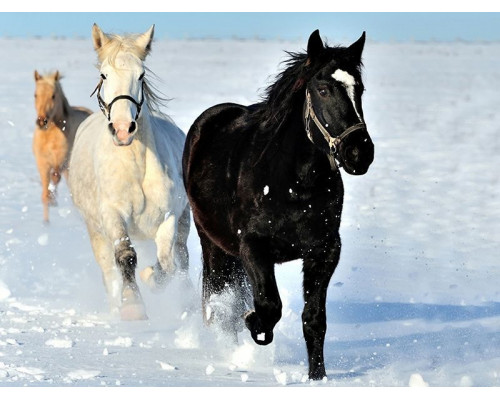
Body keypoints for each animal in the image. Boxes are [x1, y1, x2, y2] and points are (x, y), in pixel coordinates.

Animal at [32, 70, 91, 223]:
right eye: (35, 95)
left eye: (53, 95)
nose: (42, 121)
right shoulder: (42, 163)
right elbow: (44, 190)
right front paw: (46, 223)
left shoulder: (62, 160)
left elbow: (55, 177)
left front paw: (52, 199)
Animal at [71, 23, 192, 320]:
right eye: (103, 74)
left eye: (141, 75)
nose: (123, 129)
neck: (136, 167)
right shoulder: (112, 215)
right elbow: (126, 255)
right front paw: (132, 305)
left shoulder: (169, 217)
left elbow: (167, 262)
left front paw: (151, 278)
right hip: (95, 230)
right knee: (108, 268)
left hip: (185, 221)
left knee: (182, 258)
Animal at [182, 29, 374, 380]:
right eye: (323, 89)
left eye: (360, 89)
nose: (359, 152)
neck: (293, 183)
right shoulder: (253, 246)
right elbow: (269, 305)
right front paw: (254, 324)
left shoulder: (324, 250)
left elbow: (314, 319)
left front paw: (317, 377)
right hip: (213, 243)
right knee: (219, 300)